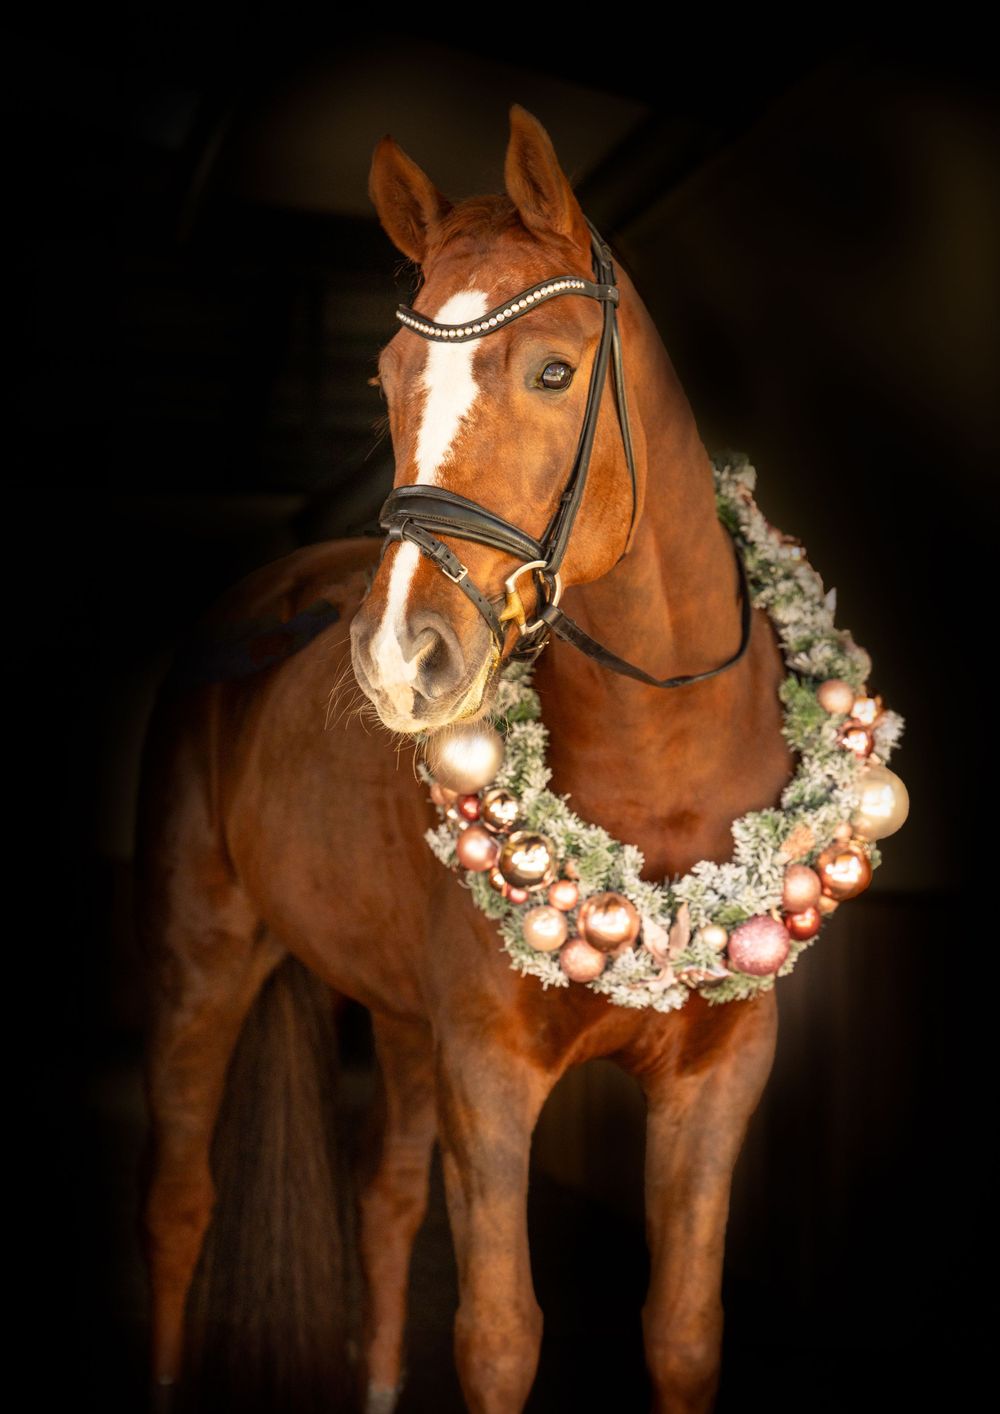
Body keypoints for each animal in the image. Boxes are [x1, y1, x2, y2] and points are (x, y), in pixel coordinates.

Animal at [137, 103, 797, 1413]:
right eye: (388, 380)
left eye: (552, 370)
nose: (402, 655)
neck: (665, 770)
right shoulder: (487, 1073)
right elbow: (499, 1335)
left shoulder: (718, 1076)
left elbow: (681, 1329)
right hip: (203, 965)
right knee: (180, 1206)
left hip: (398, 1025)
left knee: (384, 1204)